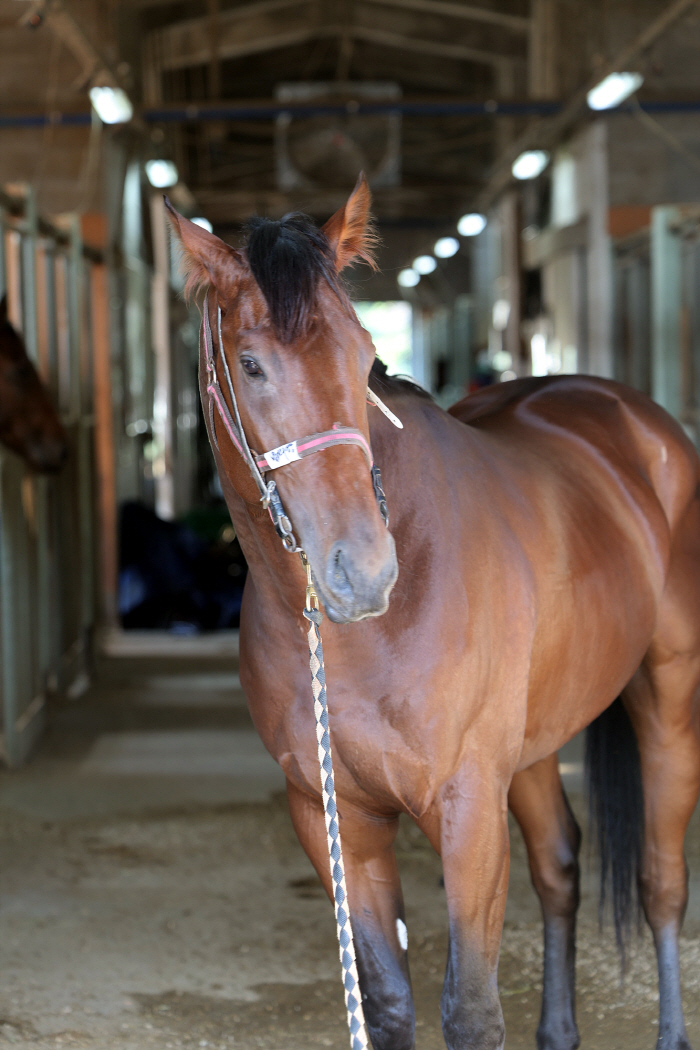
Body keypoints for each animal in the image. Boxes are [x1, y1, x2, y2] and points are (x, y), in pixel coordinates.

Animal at [167, 180, 700, 1050]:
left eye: (363, 356)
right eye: (250, 365)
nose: (363, 572)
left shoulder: (469, 807)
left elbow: (471, 1010)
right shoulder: (333, 817)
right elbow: (386, 1002)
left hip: (667, 697)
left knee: (661, 881)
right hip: (534, 745)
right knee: (560, 867)